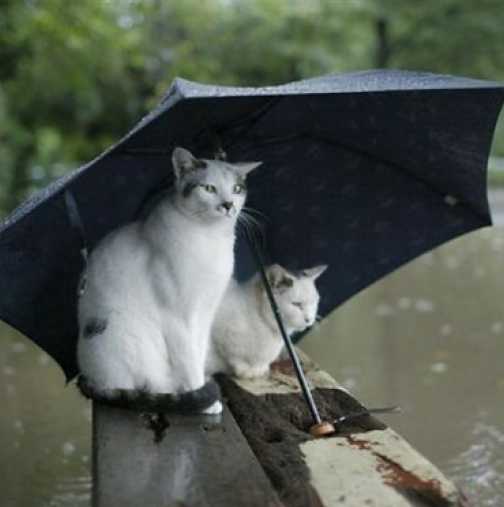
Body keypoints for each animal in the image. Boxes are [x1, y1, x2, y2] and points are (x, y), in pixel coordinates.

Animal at [78, 145, 264, 414]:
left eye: (237, 189)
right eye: (209, 188)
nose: (228, 204)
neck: (210, 238)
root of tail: (89, 379)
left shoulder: (205, 314)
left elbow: (198, 354)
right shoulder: (178, 318)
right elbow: (189, 362)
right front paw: (204, 399)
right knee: (144, 388)